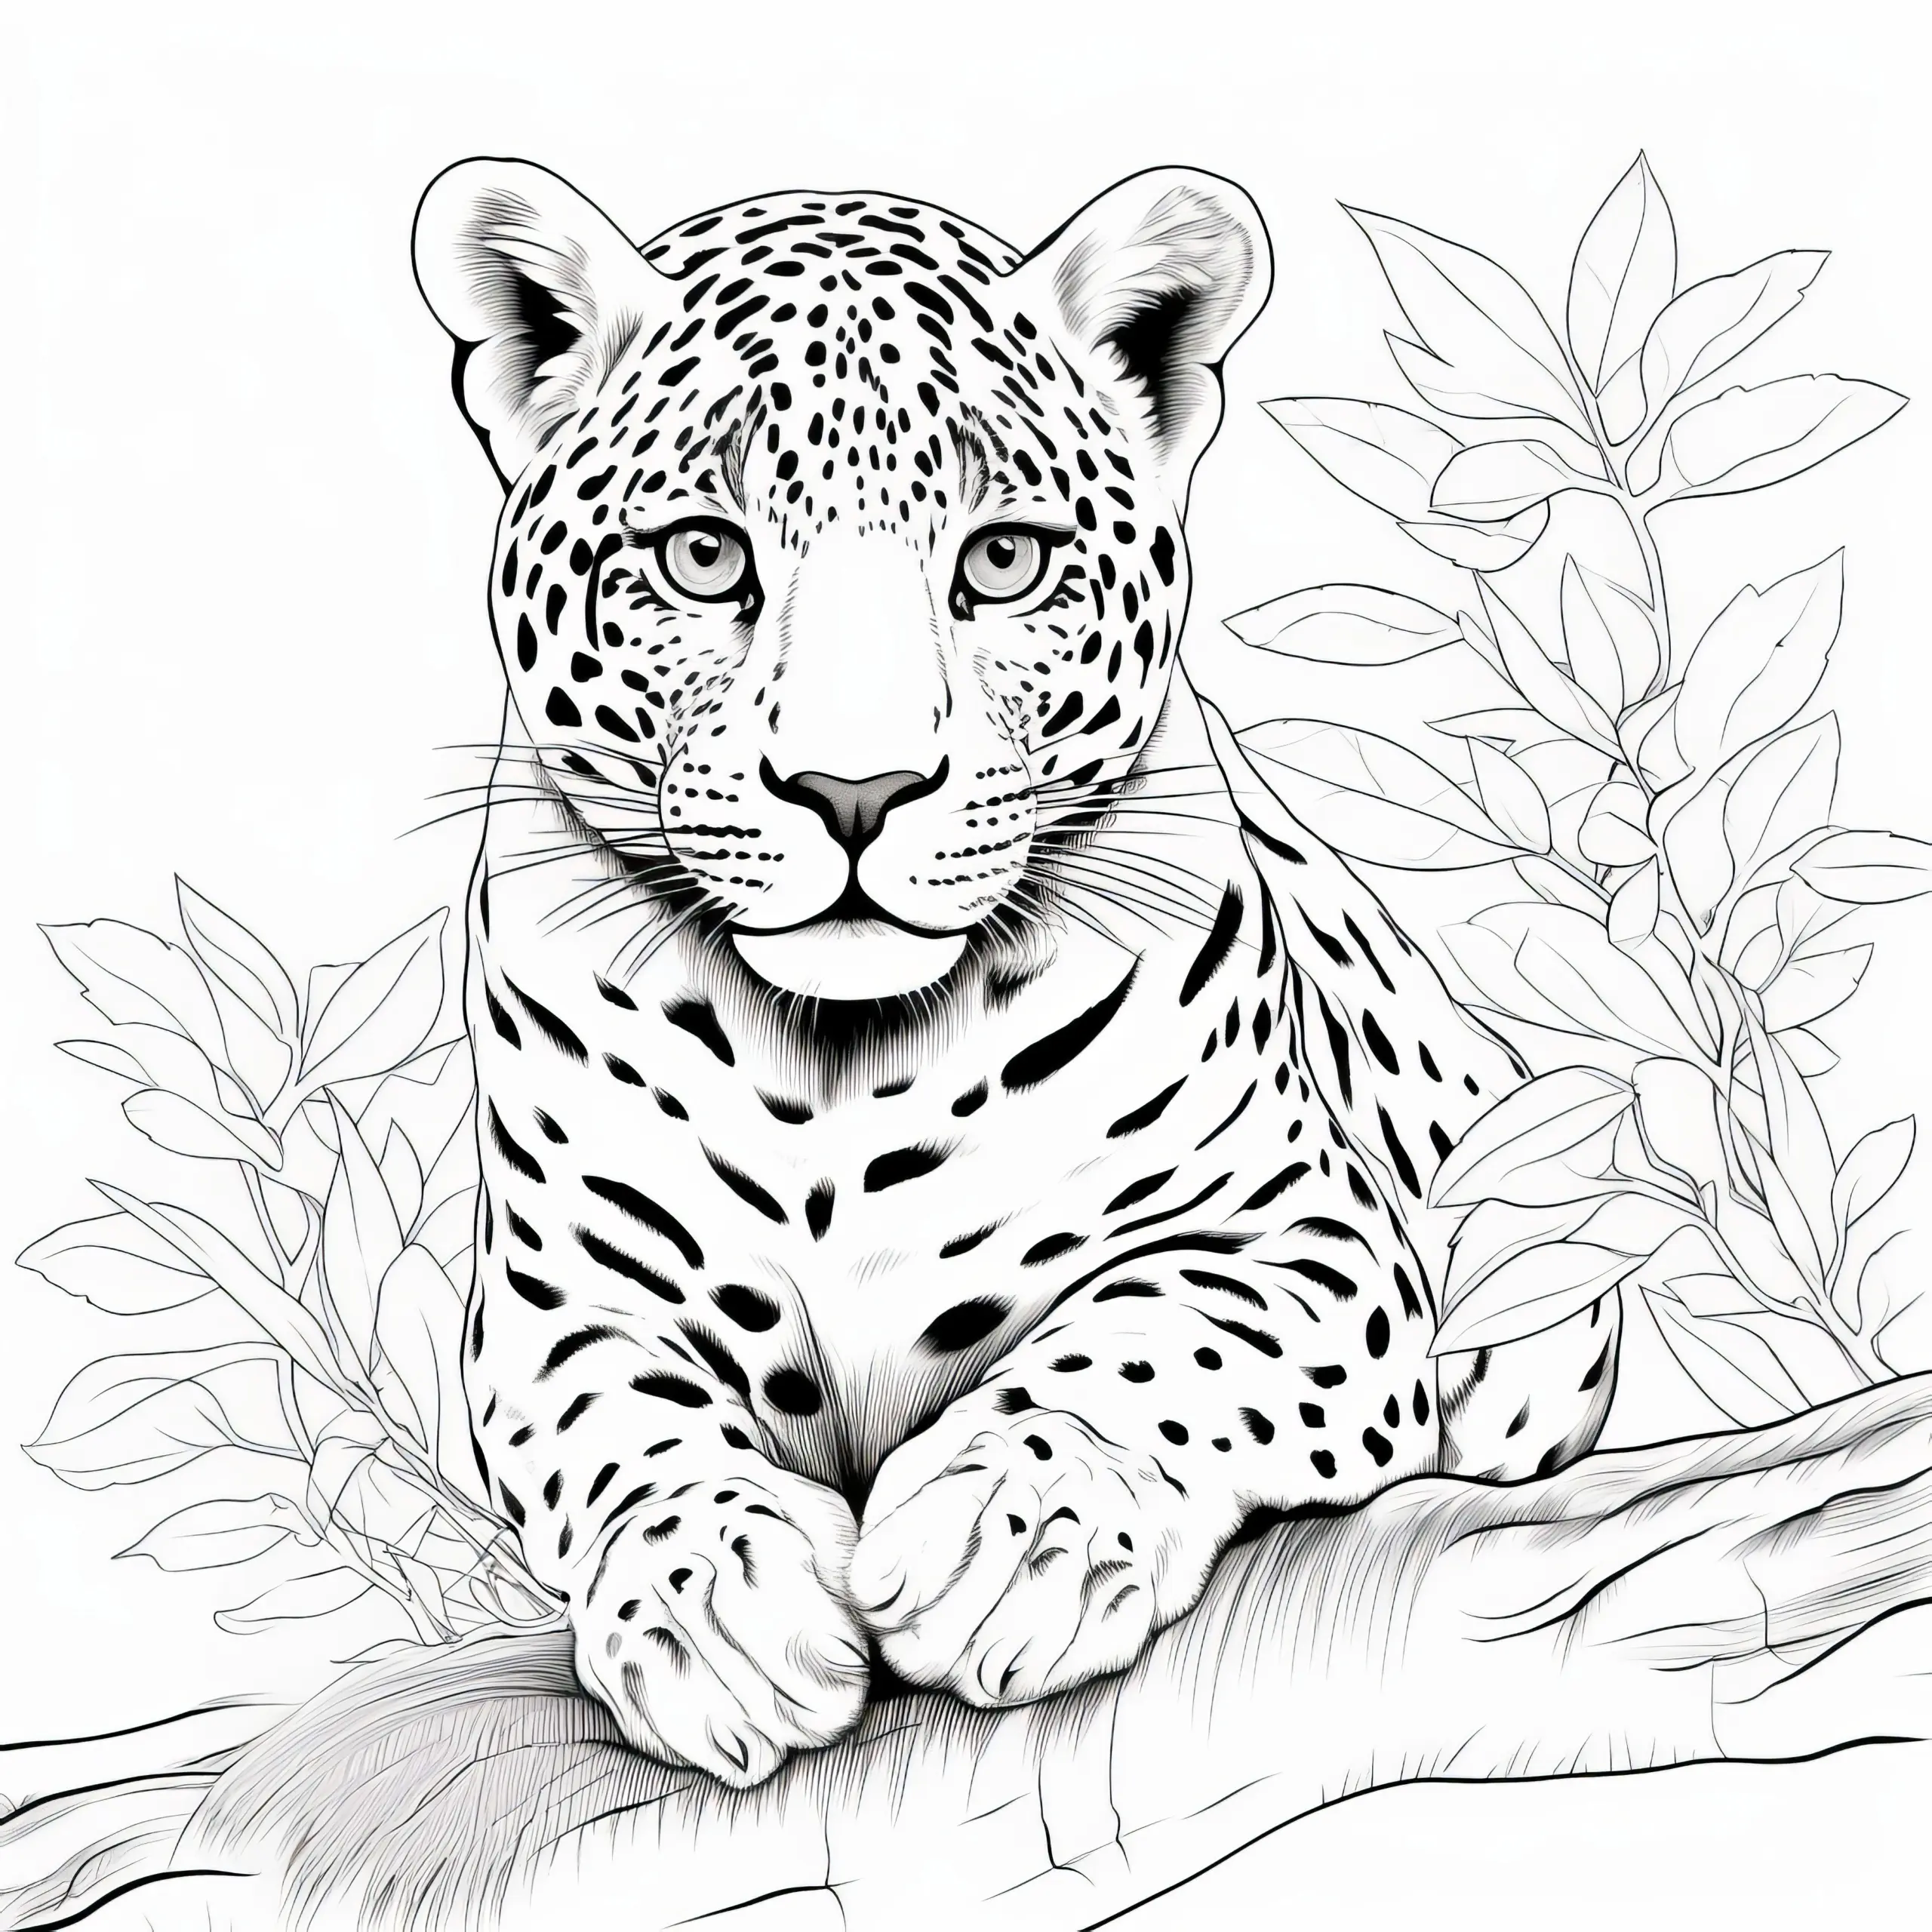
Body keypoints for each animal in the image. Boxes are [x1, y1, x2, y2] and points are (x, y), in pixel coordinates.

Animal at [410, 157, 1622, 1789]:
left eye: (1001, 560)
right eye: (705, 556)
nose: (854, 791)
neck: (834, 1065)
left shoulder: (1304, 1242)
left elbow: (1162, 1333)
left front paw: (1013, 1532)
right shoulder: (562, 1307)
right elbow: (625, 1436)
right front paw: (712, 1610)